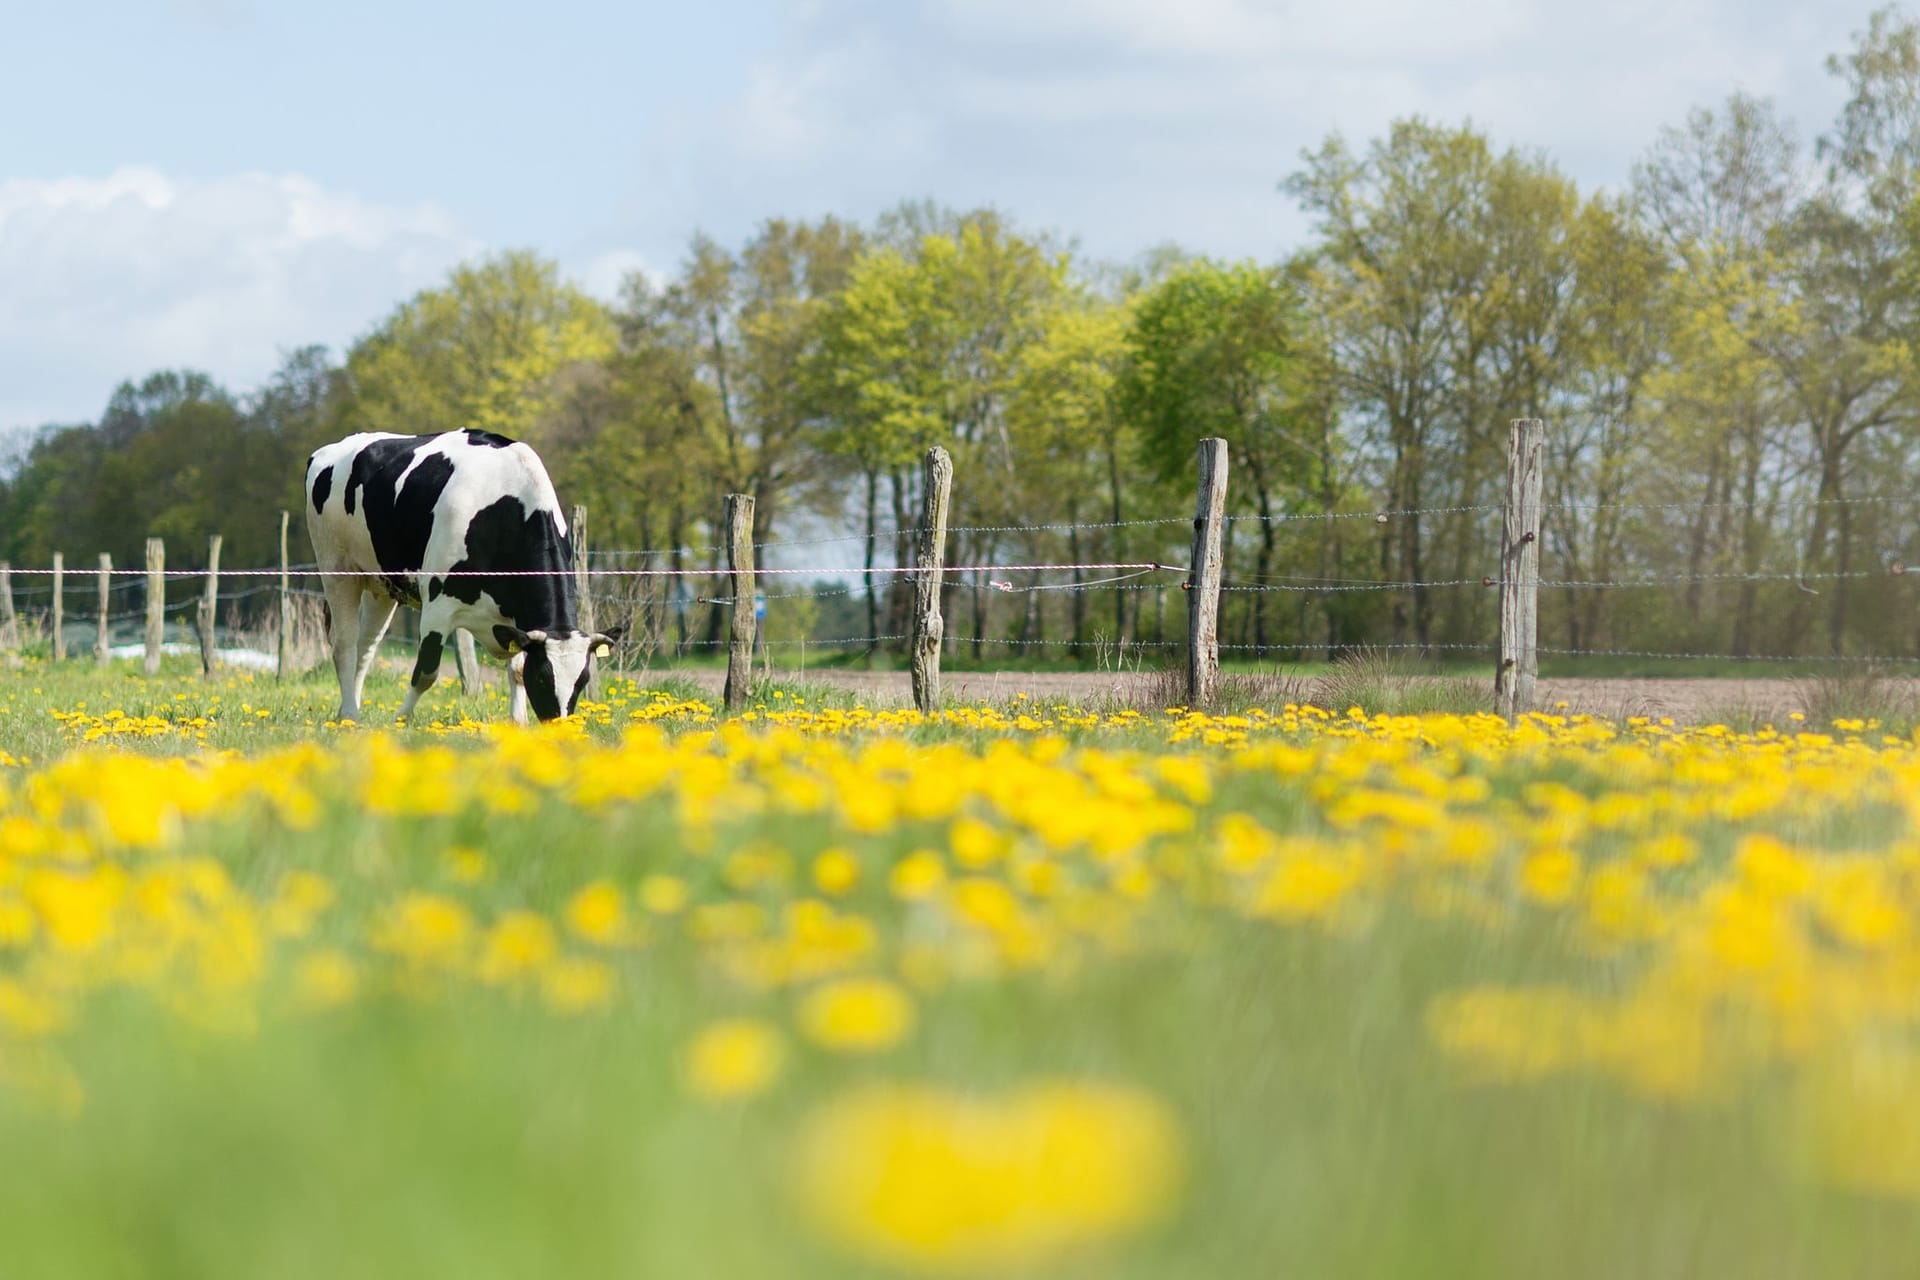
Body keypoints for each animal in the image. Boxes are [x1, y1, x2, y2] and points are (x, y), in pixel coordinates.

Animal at [303, 429, 614, 725]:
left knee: (365, 647)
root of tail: (328, 450)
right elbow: (426, 672)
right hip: (337, 570)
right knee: (344, 645)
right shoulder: (438, 606)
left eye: (583, 681)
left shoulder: (516, 618)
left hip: (381, 585)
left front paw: (518, 722)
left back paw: (348, 710)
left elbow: (515, 670)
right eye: (542, 677)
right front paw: (401, 718)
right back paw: (350, 714)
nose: (559, 727)